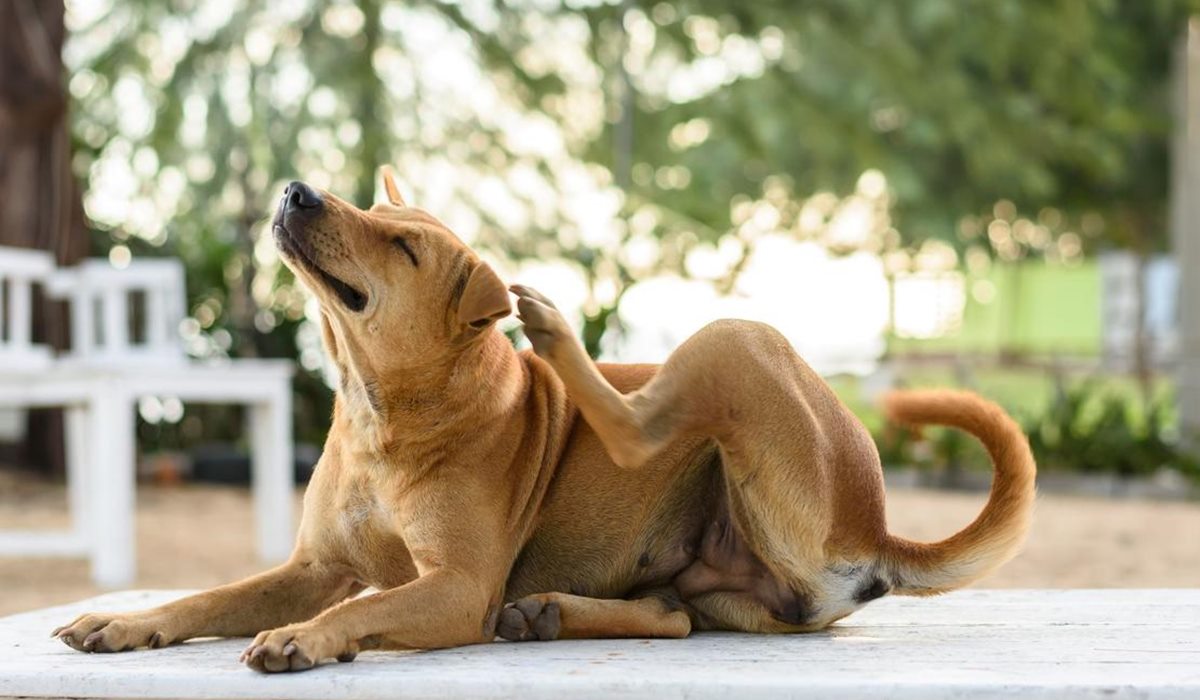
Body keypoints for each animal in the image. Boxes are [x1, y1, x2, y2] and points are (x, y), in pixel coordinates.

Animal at [54, 168, 1032, 672]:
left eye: (401, 244)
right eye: (375, 208)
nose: (299, 191)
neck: (383, 413)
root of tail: (875, 523)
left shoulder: (456, 586)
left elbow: (362, 607)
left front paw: (304, 638)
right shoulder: (313, 567)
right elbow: (208, 597)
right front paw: (128, 622)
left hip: (736, 341)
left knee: (640, 426)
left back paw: (557, 334)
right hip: (722, 587)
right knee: (672, 616)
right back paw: (552, 613)